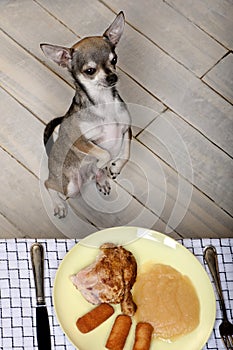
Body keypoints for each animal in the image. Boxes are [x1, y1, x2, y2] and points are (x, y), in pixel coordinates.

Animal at [41, 12, 132, 217]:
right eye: (90, 71)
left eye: (114, 60)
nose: (112, 77)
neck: (104, 102)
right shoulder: (81, 141)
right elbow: (105, 152)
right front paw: (104, 162)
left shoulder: (127, 129)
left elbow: (126, 152)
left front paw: (115, 167)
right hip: (70, 187)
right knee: (48, 184)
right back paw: (58, 204)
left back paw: (102, 179)